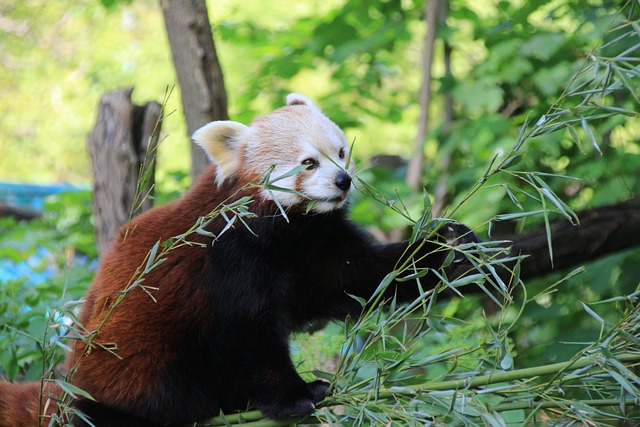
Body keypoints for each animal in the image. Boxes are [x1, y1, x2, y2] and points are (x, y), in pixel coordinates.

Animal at [0, 94, 478, 427]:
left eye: (341, 152)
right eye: (308, 163)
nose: (343, 181)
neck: (288, 232)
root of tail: (65, 391)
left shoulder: (318, 243)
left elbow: (363, 276)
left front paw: (450, 248)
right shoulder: (228, 258)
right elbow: (248, 334)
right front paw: (298, 395)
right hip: (137, 375)